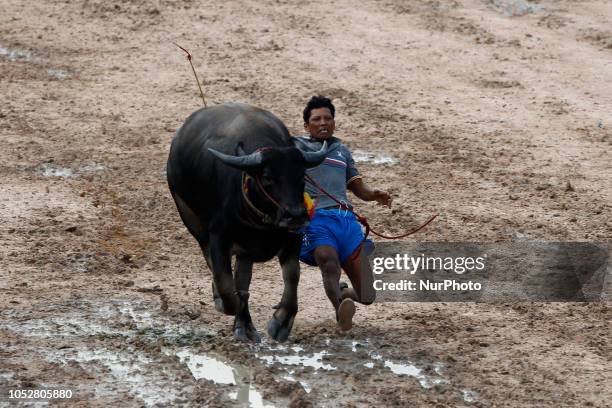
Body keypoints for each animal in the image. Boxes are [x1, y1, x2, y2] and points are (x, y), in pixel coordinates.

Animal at [165, 101, 328, 342]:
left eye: (301, 176)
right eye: (268, 177)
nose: (296, 215)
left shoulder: (292, 238)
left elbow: (292, 276)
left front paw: (281, 322)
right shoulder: (218, 238)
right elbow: (226, 285)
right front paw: (225, 302)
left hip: (245, 250)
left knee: (243, 278)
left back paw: (245, 326)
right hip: (192, 220)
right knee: (218, 269)